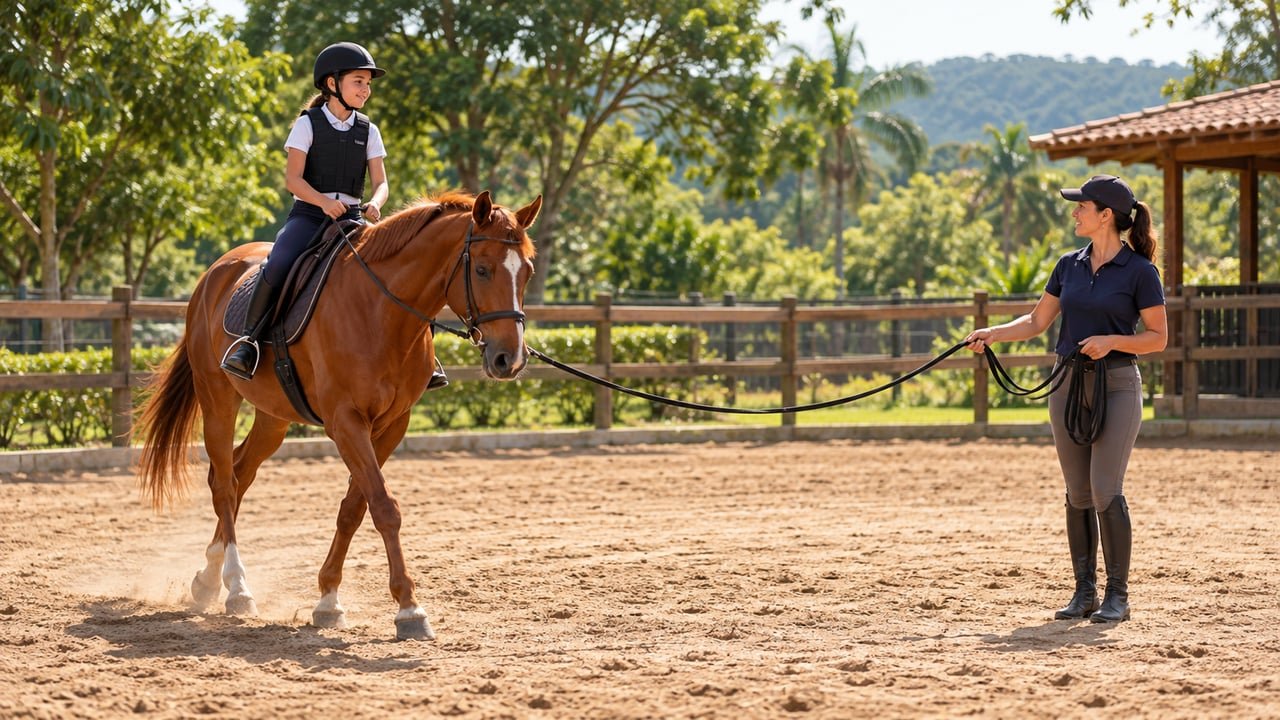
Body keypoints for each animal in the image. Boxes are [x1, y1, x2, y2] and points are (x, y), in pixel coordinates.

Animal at [134, 190, 541, 640]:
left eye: (526, 272)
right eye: (483, 269)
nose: (510, 359)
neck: (381, 312)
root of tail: (215, 273)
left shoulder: (391, 426)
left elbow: (354, 508)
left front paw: (328, 600)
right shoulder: (346, 422)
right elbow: (384, 507)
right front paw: (409, 609)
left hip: (273, 417)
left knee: (239, 475)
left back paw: (208, 580)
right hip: (218, 398)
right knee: (224, 483)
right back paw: (237, 588)